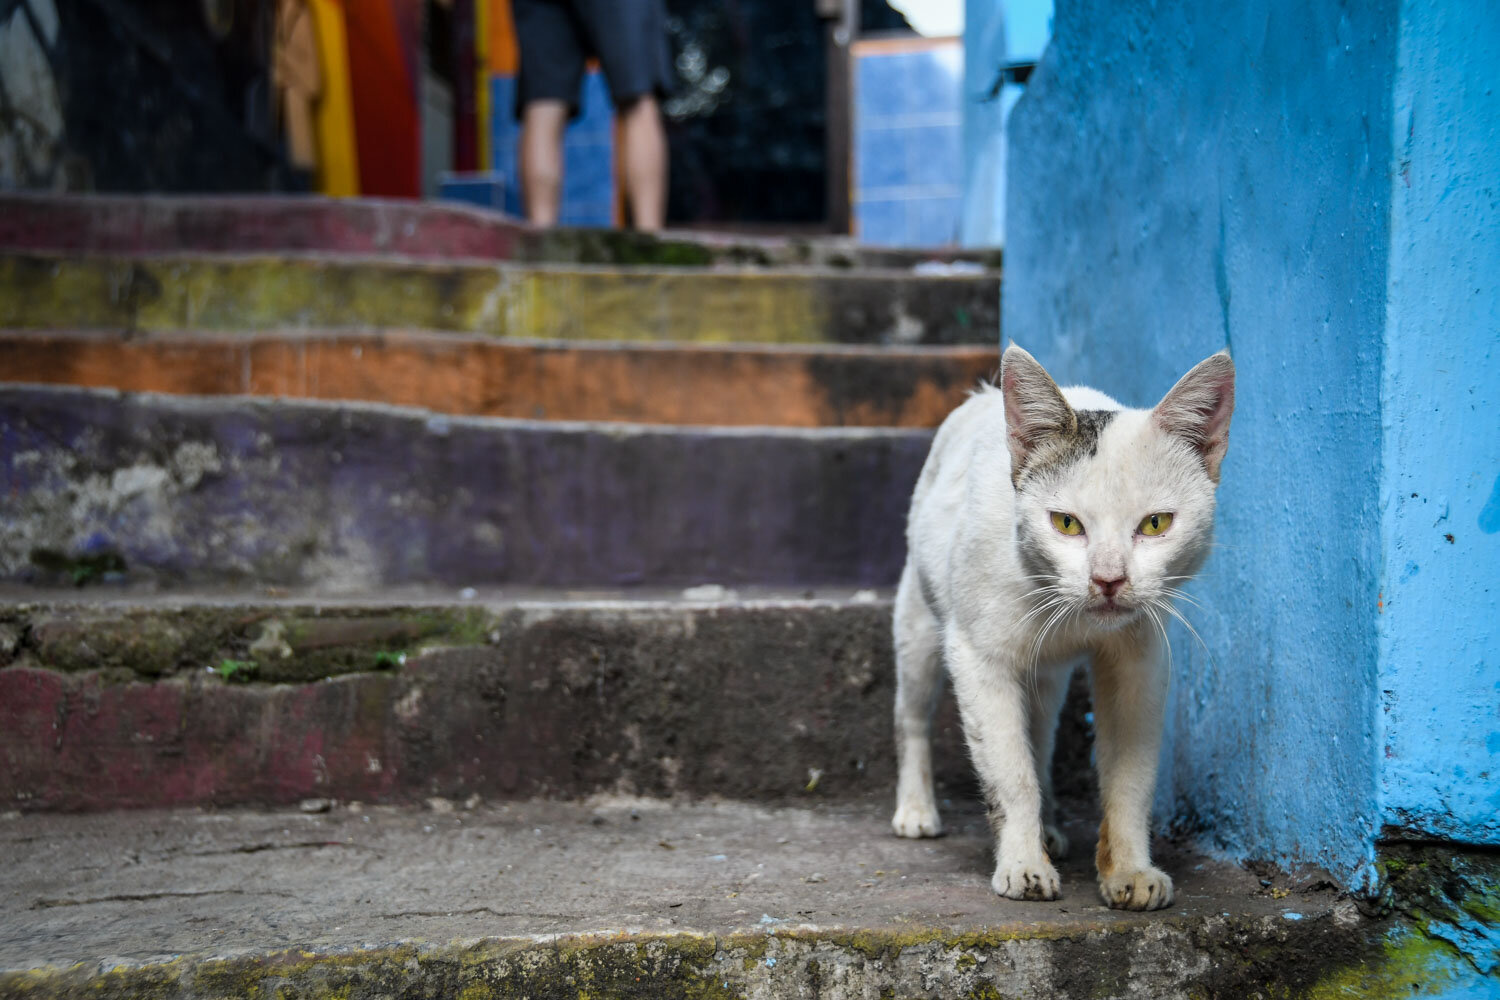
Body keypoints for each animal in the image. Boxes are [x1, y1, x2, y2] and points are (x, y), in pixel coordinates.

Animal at [888, 346, 1230, 917]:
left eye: (1156, 524)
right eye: (1066, 524)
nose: (1108, 579)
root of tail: (981, 395)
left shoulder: (1140, 661)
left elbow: (1130, 775)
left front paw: (1129, 870)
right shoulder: (978, 658)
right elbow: (1010, 772)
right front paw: (1023, 865)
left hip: (1044, 677)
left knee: (1041, 736)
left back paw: (1047, 827)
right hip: (917, 620)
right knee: (911, 716)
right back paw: (916, 809)